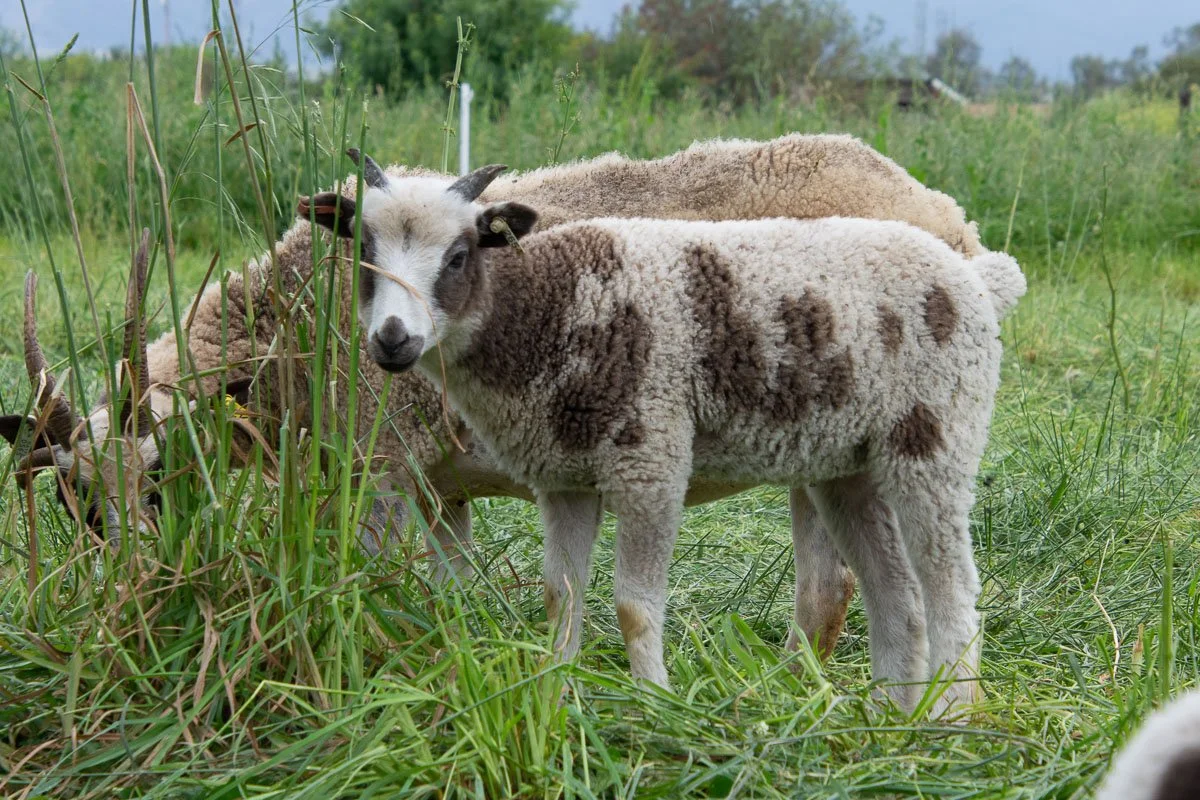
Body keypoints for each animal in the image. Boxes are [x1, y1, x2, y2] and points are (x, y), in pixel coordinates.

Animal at [2, 133, 986, 663]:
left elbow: (386, 588)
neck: (288, 333)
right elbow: (449, 594)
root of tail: (951, 218)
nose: (132, 601)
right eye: (78, 509)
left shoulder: (381, 469)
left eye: (160, 483)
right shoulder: (443, 490)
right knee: (836, 588)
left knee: (835, 587)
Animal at [306, 165, 1025, 710]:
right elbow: (560, 600)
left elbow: (634, 607)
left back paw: (951, 715)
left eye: (459, 257)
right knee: (896, 596)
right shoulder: (563, 477)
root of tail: (975, 277)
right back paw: (889, 720)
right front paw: (554, 697)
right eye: (364, 256)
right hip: (850, 467)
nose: (391, 340)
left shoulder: (650, 458)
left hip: (933, 440)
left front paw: (654, 703)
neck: (548, 306)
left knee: (951, 591)